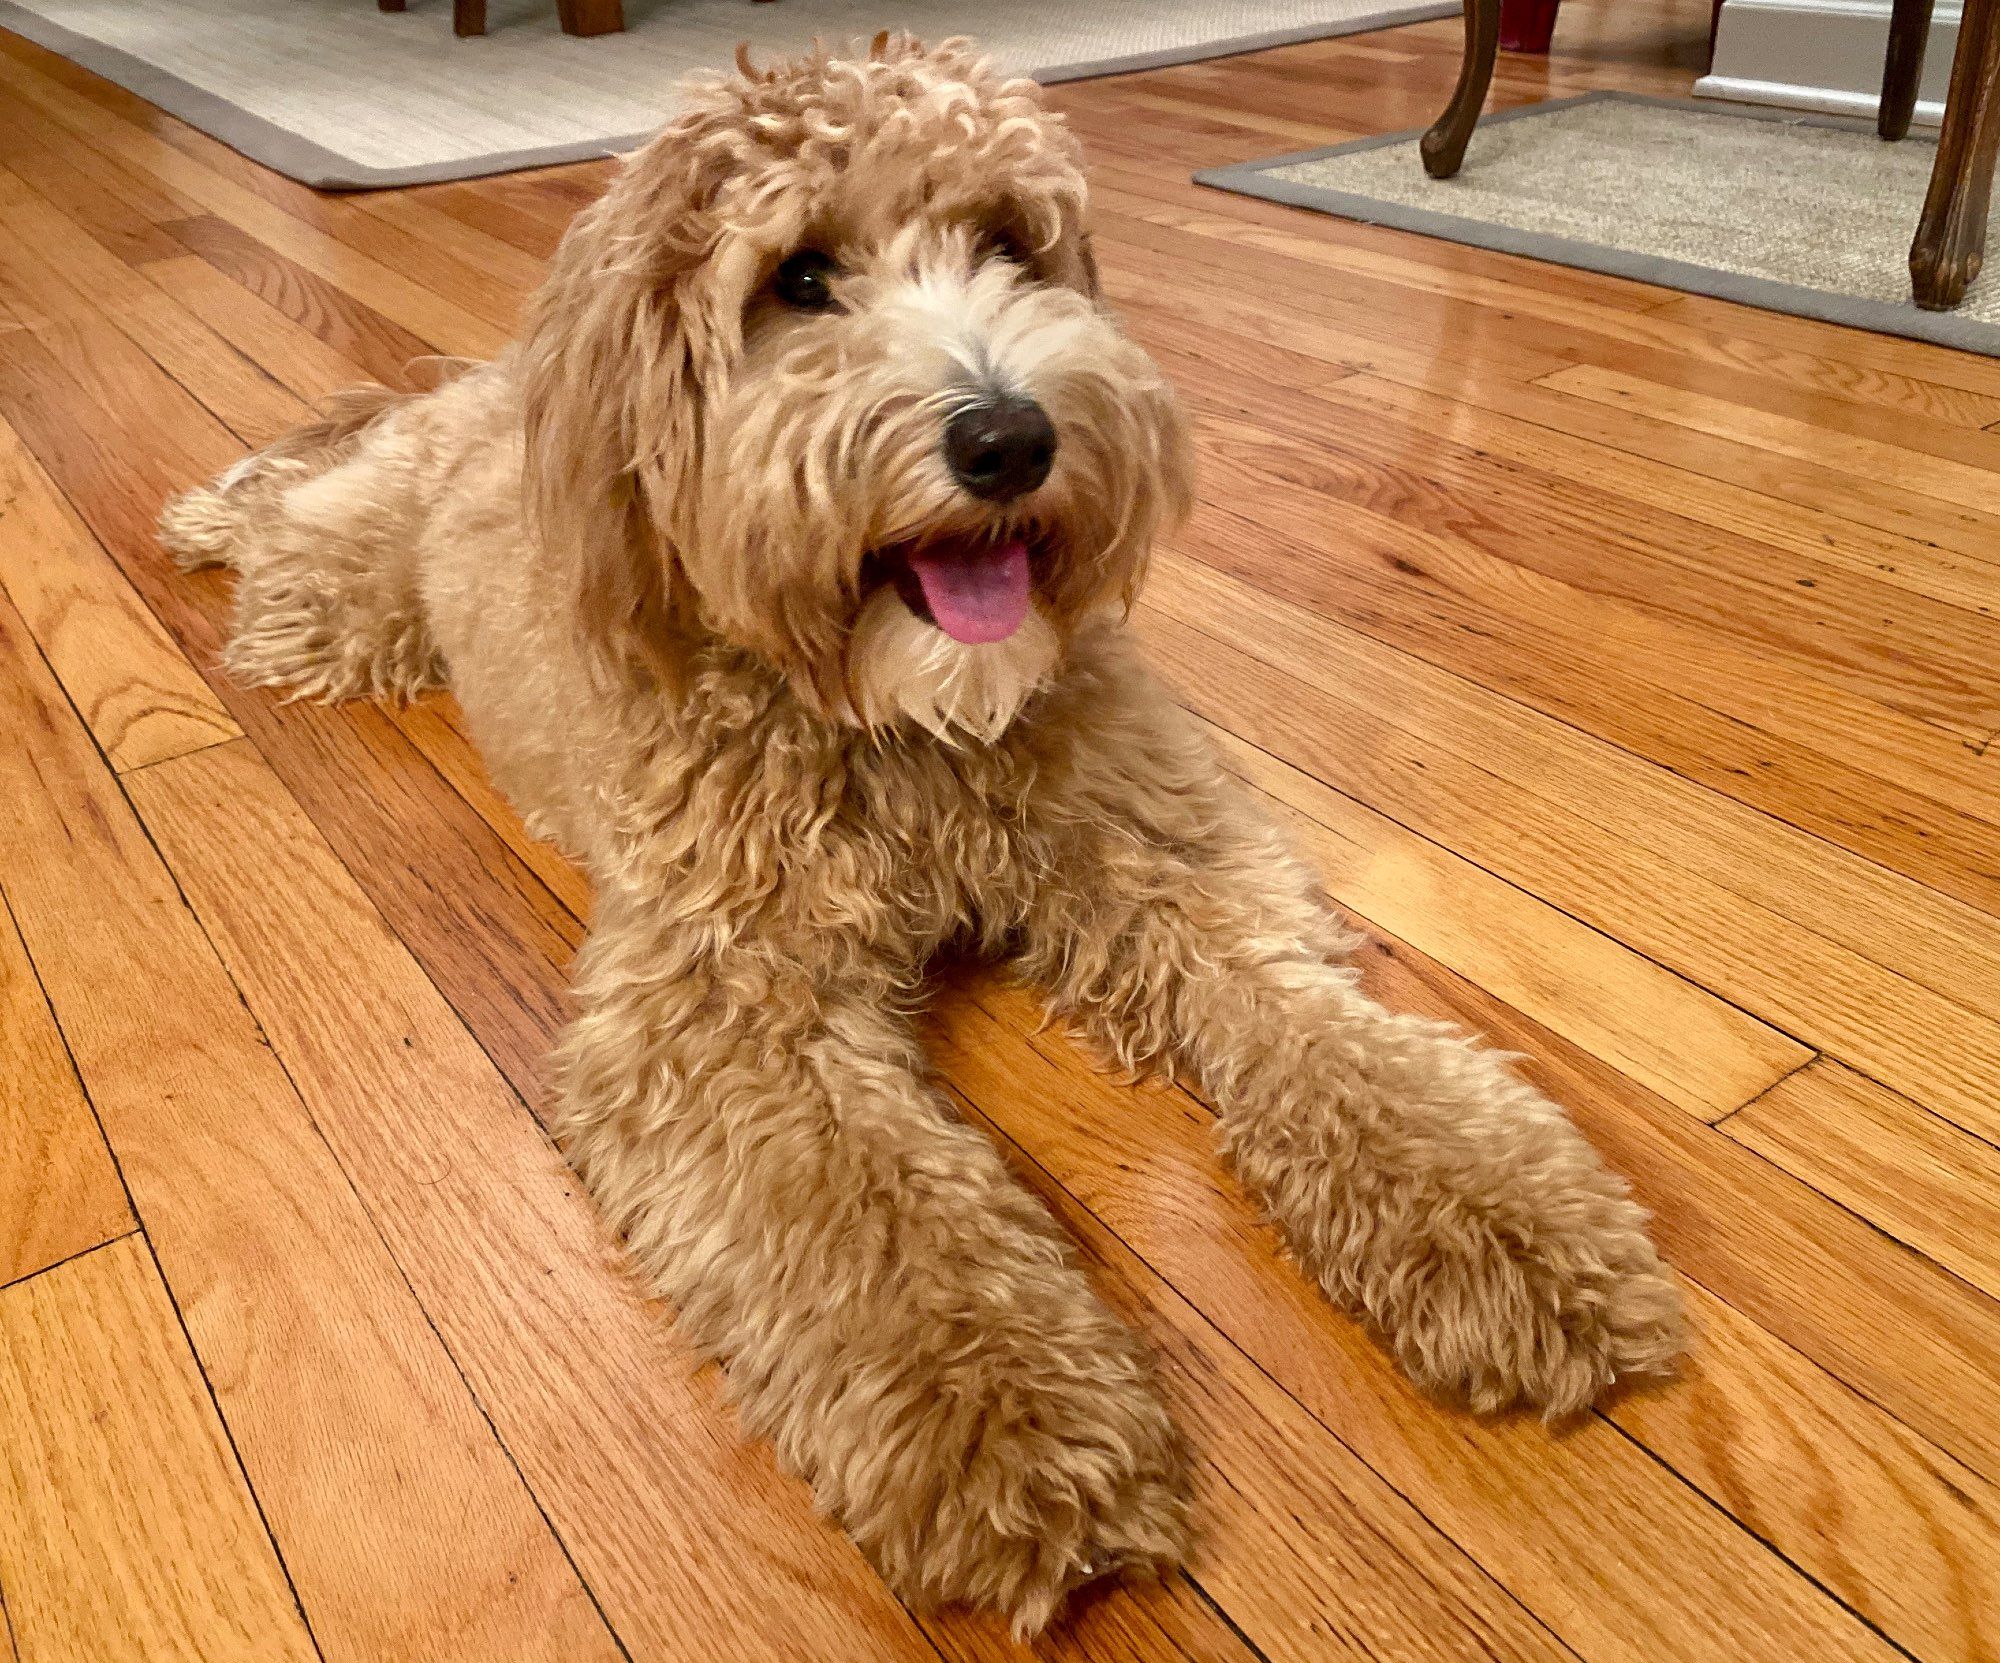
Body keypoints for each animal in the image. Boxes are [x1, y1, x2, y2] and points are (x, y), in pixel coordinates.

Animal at [160, 35, 1688, 1639]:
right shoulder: (726, 1003)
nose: (1009, 435)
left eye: (1010, 243)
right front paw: (1013, 1428)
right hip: (341, 603)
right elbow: (882, 1223)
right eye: (799, 279)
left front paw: (1504, 1222)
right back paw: (215, 507)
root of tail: (493, 380)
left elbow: (1327, 1037)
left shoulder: (1161, 854)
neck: (907, 737)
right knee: (286, 519)